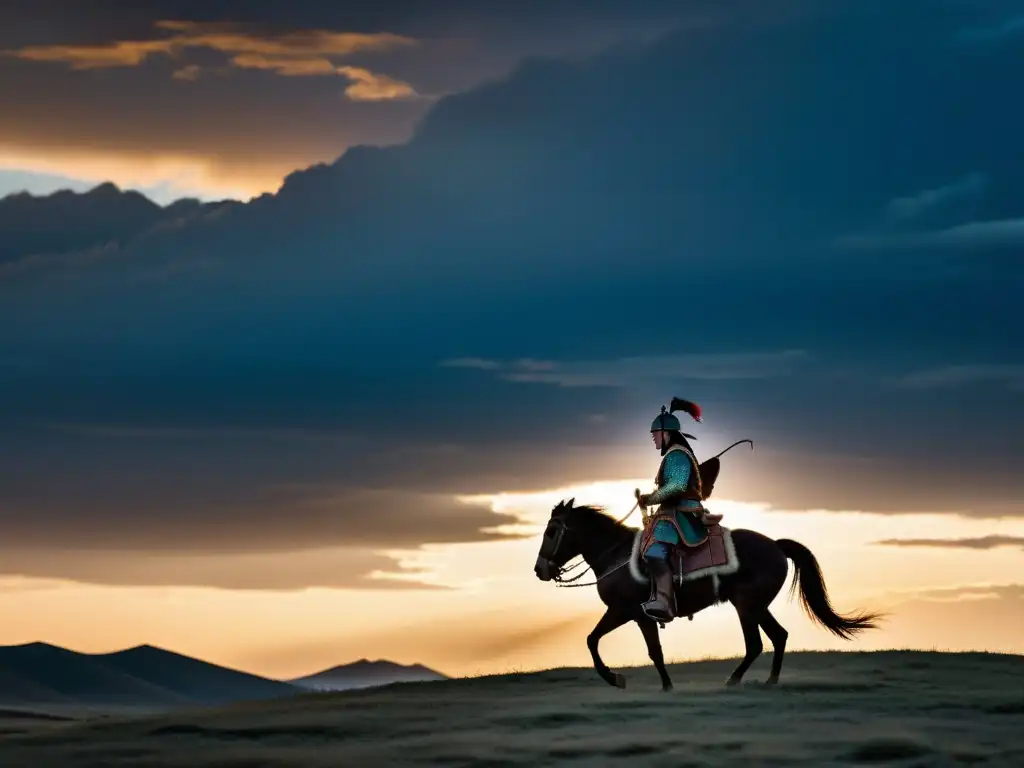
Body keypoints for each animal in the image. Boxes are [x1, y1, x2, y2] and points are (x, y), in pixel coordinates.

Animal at [536, 499, 880, 692]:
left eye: (552, 531)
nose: (540, 569)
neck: (616, 556)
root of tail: (775, 545)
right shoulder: (622, 613)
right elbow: (593, 639)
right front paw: (619, 679)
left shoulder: (633, 613)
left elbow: (650, 651)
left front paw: (659, 685)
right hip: (757, 606)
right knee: (778, 636)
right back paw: (769, 681)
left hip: (746, 606)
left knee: (756, 644)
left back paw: (734, 681)